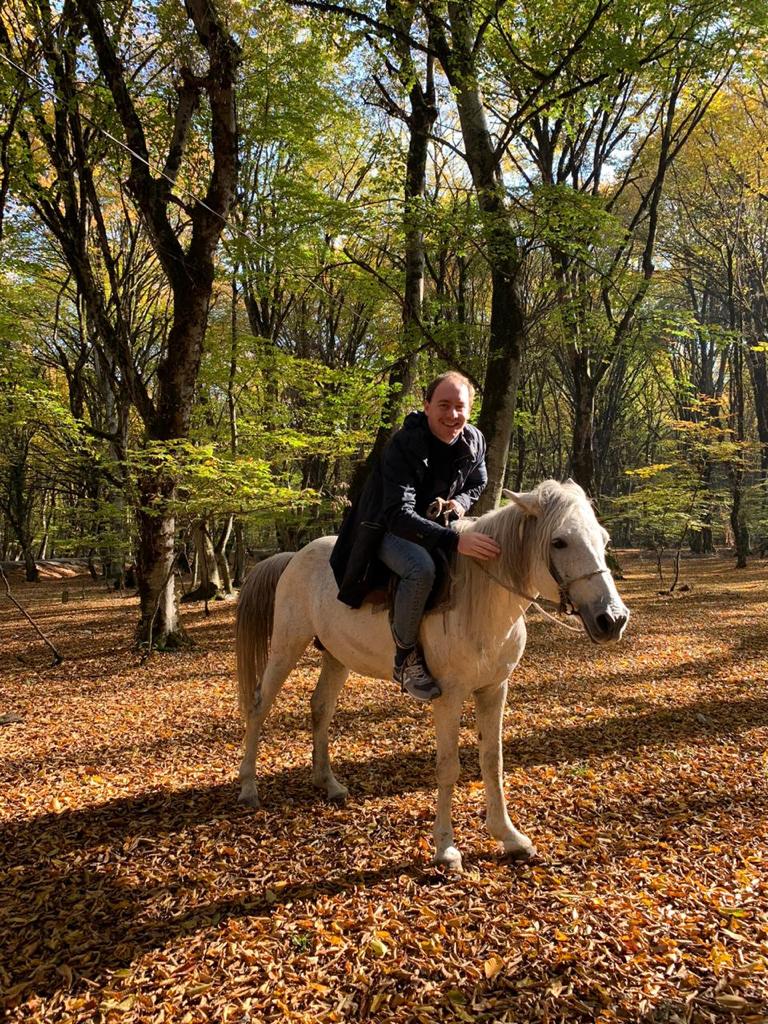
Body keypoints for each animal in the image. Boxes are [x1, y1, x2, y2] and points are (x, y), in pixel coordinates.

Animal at [237, 479, 626, 872]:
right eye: (559, 542)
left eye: (605, 540)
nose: (612, 619)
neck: (481, 600)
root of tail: (293, 557)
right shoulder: (449, 697)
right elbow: (448, 767)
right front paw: (446, 848)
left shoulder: (494, 689)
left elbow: (492, 760)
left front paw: (509, 837)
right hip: (286, 644)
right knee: (259, 706)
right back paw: (249, 787)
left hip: (335, 655)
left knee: (321, 708)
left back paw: (328, 783)